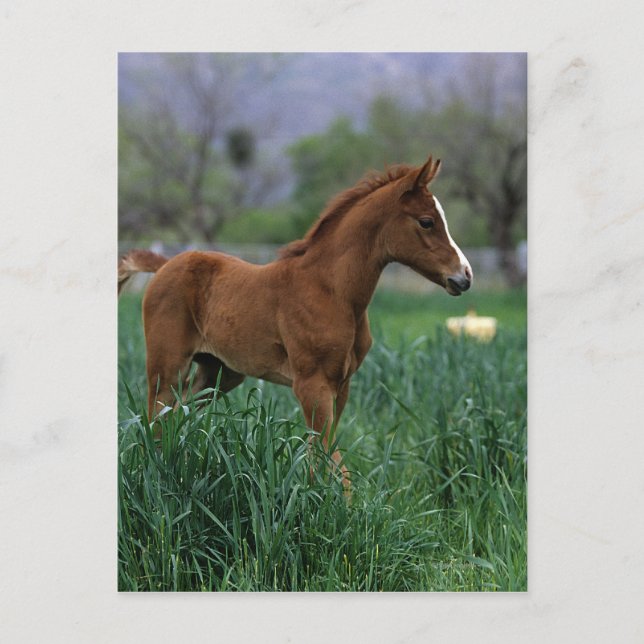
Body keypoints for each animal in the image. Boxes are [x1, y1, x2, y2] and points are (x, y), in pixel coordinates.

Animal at [118, 155, 472, 486]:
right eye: (426, 221)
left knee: (176, 415)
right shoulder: (311, 384)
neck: (332, 291)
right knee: (154, 419)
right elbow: (331, 459)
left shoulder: (341, 385)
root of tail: (165, 265)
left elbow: (324, 455)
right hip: (166, 367)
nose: (465, 276)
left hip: (218, 372)